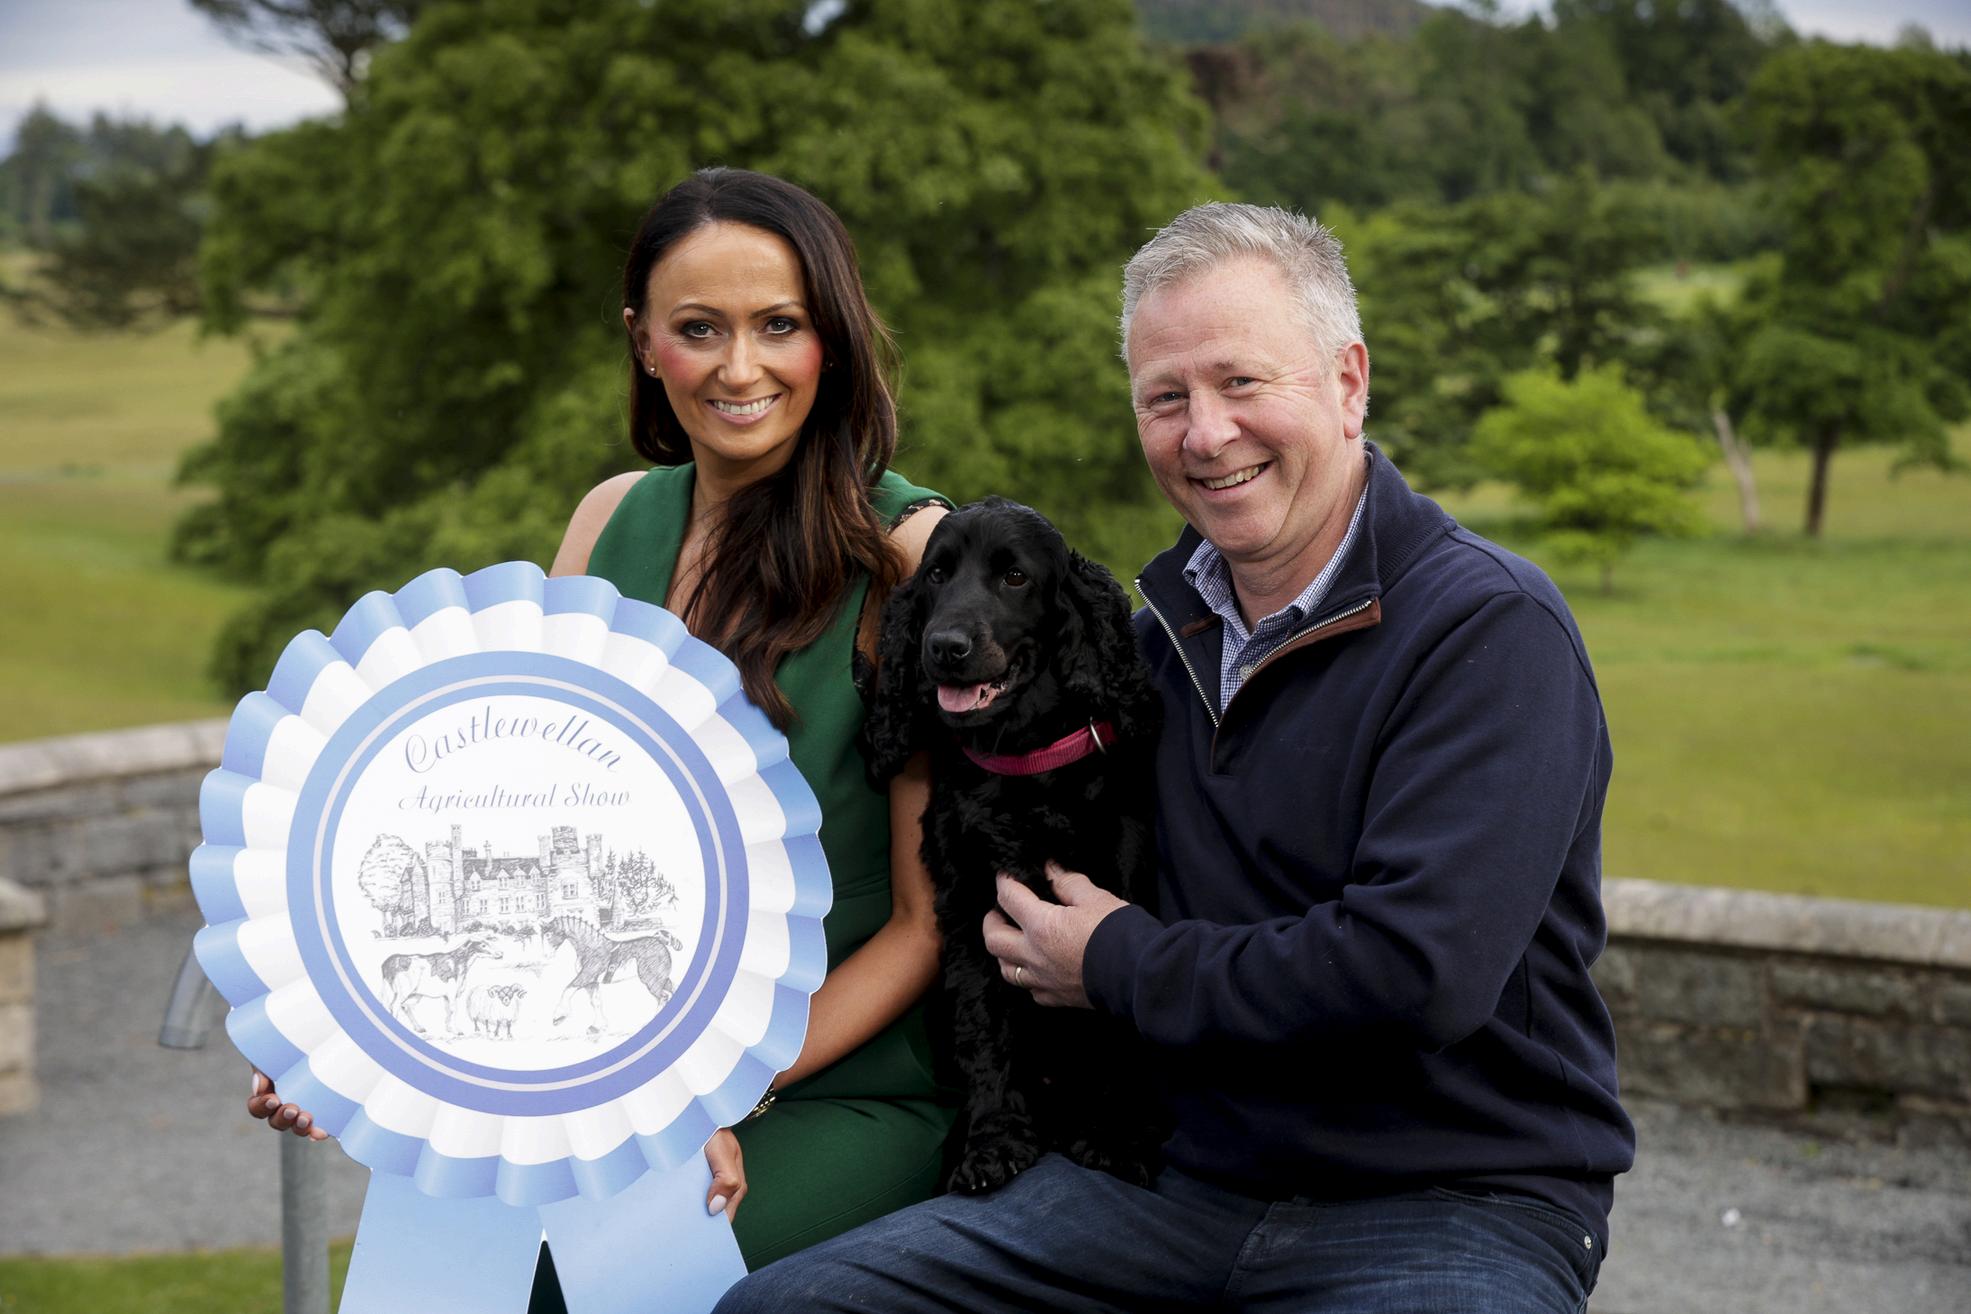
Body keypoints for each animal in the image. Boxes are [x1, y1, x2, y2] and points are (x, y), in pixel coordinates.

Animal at [864, 497, 1164, 1193]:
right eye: (938, 574)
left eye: (1015, 577)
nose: (944, 647)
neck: (1024, 768)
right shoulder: (969, 912)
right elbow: (984, 1030)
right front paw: (992, 1145)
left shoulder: (1115, 899)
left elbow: (1117, 1016)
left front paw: (1115, 1141)